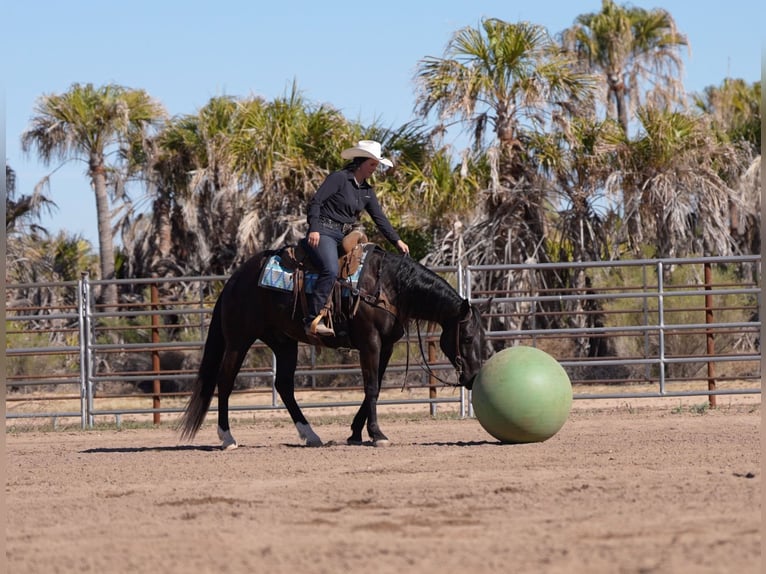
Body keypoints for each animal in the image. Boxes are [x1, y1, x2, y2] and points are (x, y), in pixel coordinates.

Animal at [178, 242, 485, 449]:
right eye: (467, 338)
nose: (473, 377)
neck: (388, 286)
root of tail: (234, 280)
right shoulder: (370, 342)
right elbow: (371, 387)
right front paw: (377, 434)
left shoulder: (385, 346)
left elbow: (374, 387)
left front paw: (356, 433)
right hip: (239, 340)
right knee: (225, 381)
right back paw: (227, 437)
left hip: (283, 342)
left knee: (284, 386)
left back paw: (310, 435)